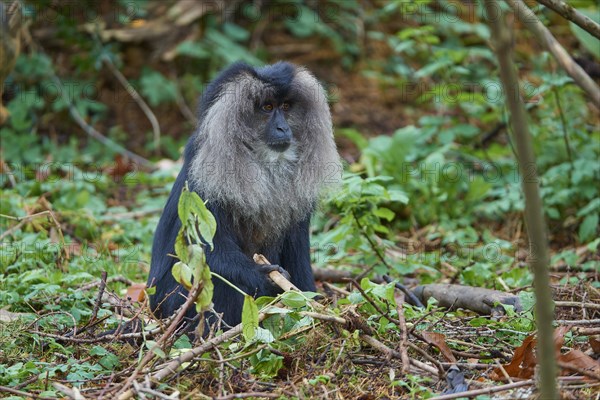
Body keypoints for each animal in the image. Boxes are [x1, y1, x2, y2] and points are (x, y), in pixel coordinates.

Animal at [148, 61, 340, 332]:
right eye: (267, 107)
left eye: (286, 106)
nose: (283, 128)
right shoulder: (206, 177)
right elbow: (205, 251)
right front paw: (265, 277)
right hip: (174, 304)